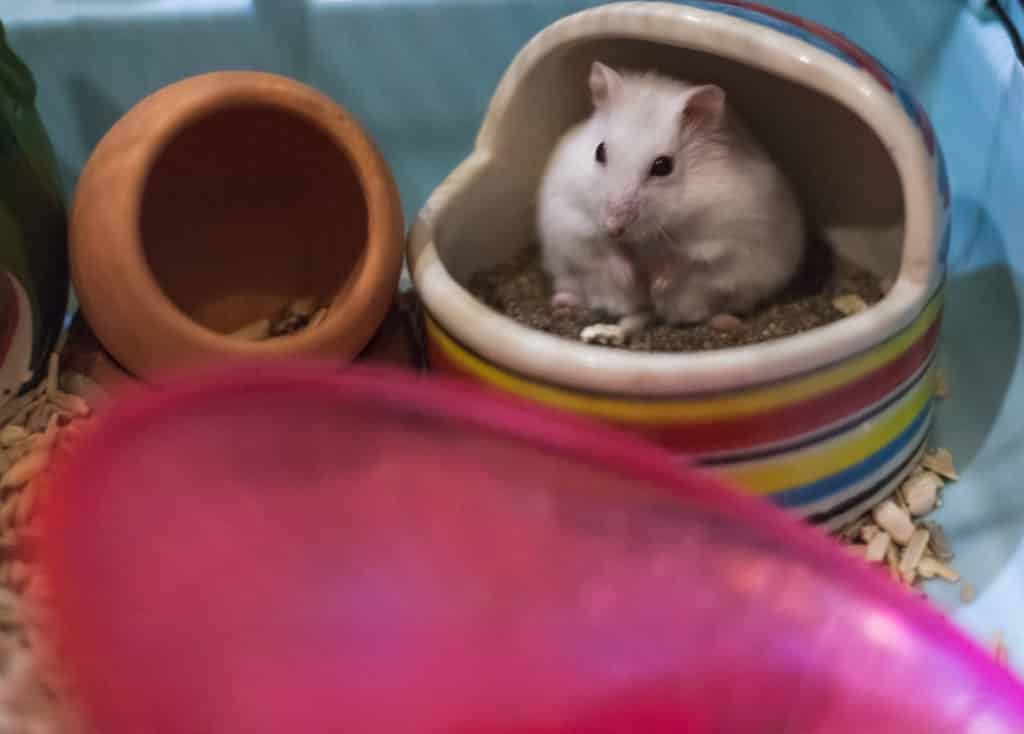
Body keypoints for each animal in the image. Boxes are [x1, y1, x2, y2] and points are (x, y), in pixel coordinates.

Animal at [536, 61, 806, 339]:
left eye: (663, 166)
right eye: (600, 151)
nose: (614, 226)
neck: (646, 238)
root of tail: (652, 312)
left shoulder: (720, 238)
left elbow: (685, 259)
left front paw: (657, 285)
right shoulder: (572, 215)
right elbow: (603, 248)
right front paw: (631, 279)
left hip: (740, 290)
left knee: (717, 309)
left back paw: (725, 322)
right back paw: (564, 301)